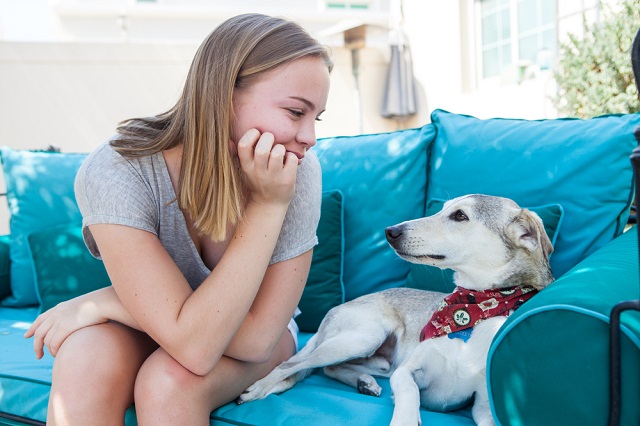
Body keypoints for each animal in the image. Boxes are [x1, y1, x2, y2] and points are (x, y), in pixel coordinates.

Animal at [238, 195, 552, 424]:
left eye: (460, 216)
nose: (390, 231)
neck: (471, 309)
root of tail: (337, 309)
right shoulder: (406, 373)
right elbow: (410, 394)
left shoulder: (484, 405)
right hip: (364, 336)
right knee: (293, 365)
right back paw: (260, 388)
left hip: (375, 356)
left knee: (331, 368)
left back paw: (364, 381)